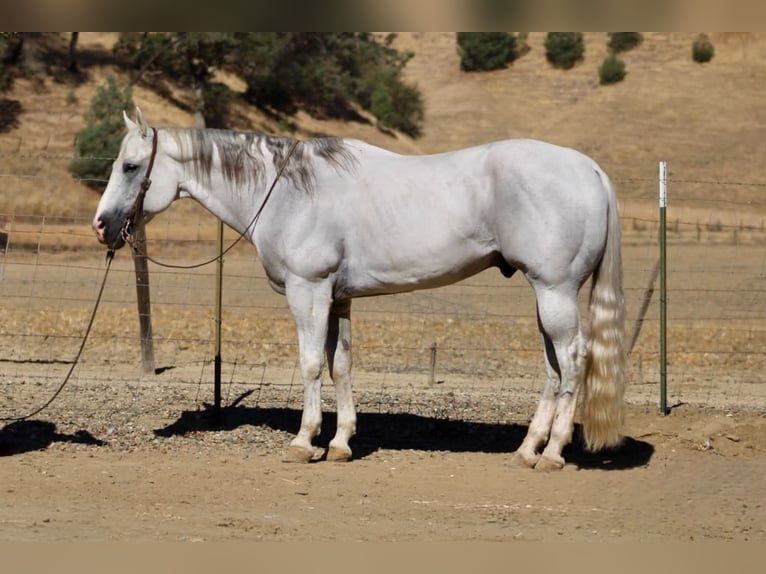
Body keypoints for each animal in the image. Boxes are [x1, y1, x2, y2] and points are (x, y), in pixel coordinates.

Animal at [93, 107, 627, 471]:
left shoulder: (308, 291)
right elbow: (341, 365)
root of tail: (589, 169)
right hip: (548, 296)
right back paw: (527, 448)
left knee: (573, 360)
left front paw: (303, 441)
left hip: (555, 292)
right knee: (554, 367)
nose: (101, 225)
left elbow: (311, 363)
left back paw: (553, 453)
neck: (289, 190)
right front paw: (340, 443)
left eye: (131, 166)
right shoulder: (339, 298)